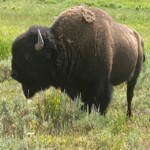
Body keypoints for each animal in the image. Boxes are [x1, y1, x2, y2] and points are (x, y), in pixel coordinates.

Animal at [11, 5, 145, 118]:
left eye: (27, 56)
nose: (13, 74)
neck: (65, 46)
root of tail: (139, 38)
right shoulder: (76, 88)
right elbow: (84, 104)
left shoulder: (101, 84)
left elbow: (101, 103)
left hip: (135, 76)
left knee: (129, 95)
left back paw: (129, 116)